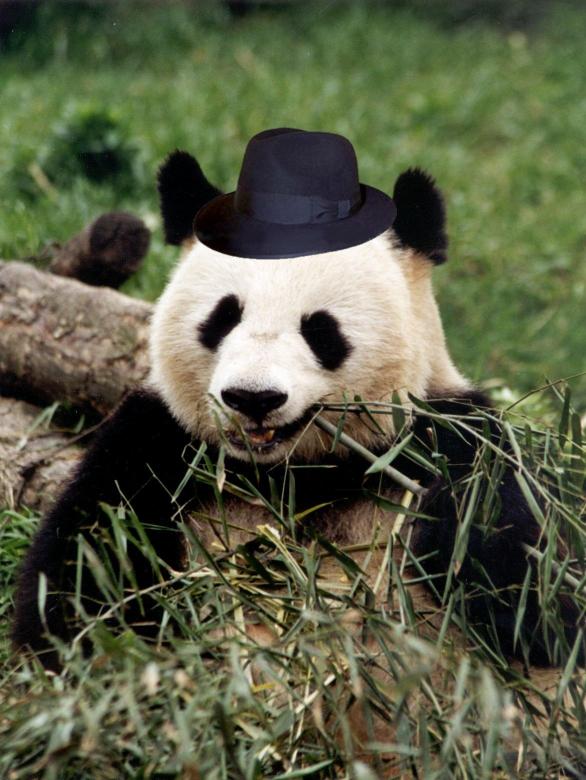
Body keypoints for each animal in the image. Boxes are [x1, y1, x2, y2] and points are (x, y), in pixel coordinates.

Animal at [12, 128, 582, 673]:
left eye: (320, 329)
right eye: (223, 317)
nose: (253, 397)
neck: (293, 477)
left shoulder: (450, 438)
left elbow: (533, 601)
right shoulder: (156, 446)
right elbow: (82, 580)